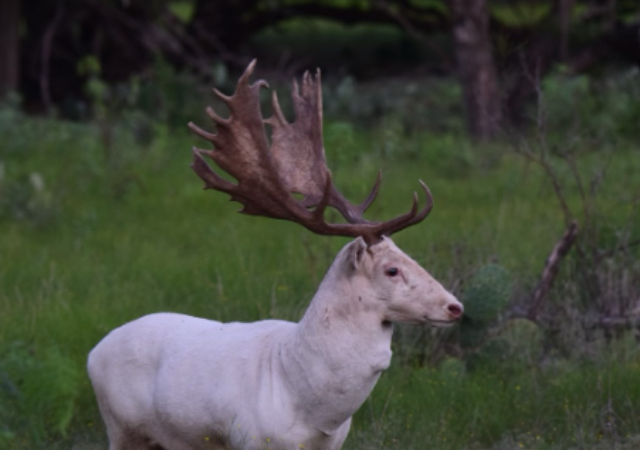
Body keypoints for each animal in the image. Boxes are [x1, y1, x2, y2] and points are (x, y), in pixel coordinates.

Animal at [87, 60, 463, 450]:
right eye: (391, 269)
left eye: (408, 255)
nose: (456, 307)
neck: (309, 408)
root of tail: (93, 352)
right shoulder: (248, 438)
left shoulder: (335, 443)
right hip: (122, 428)